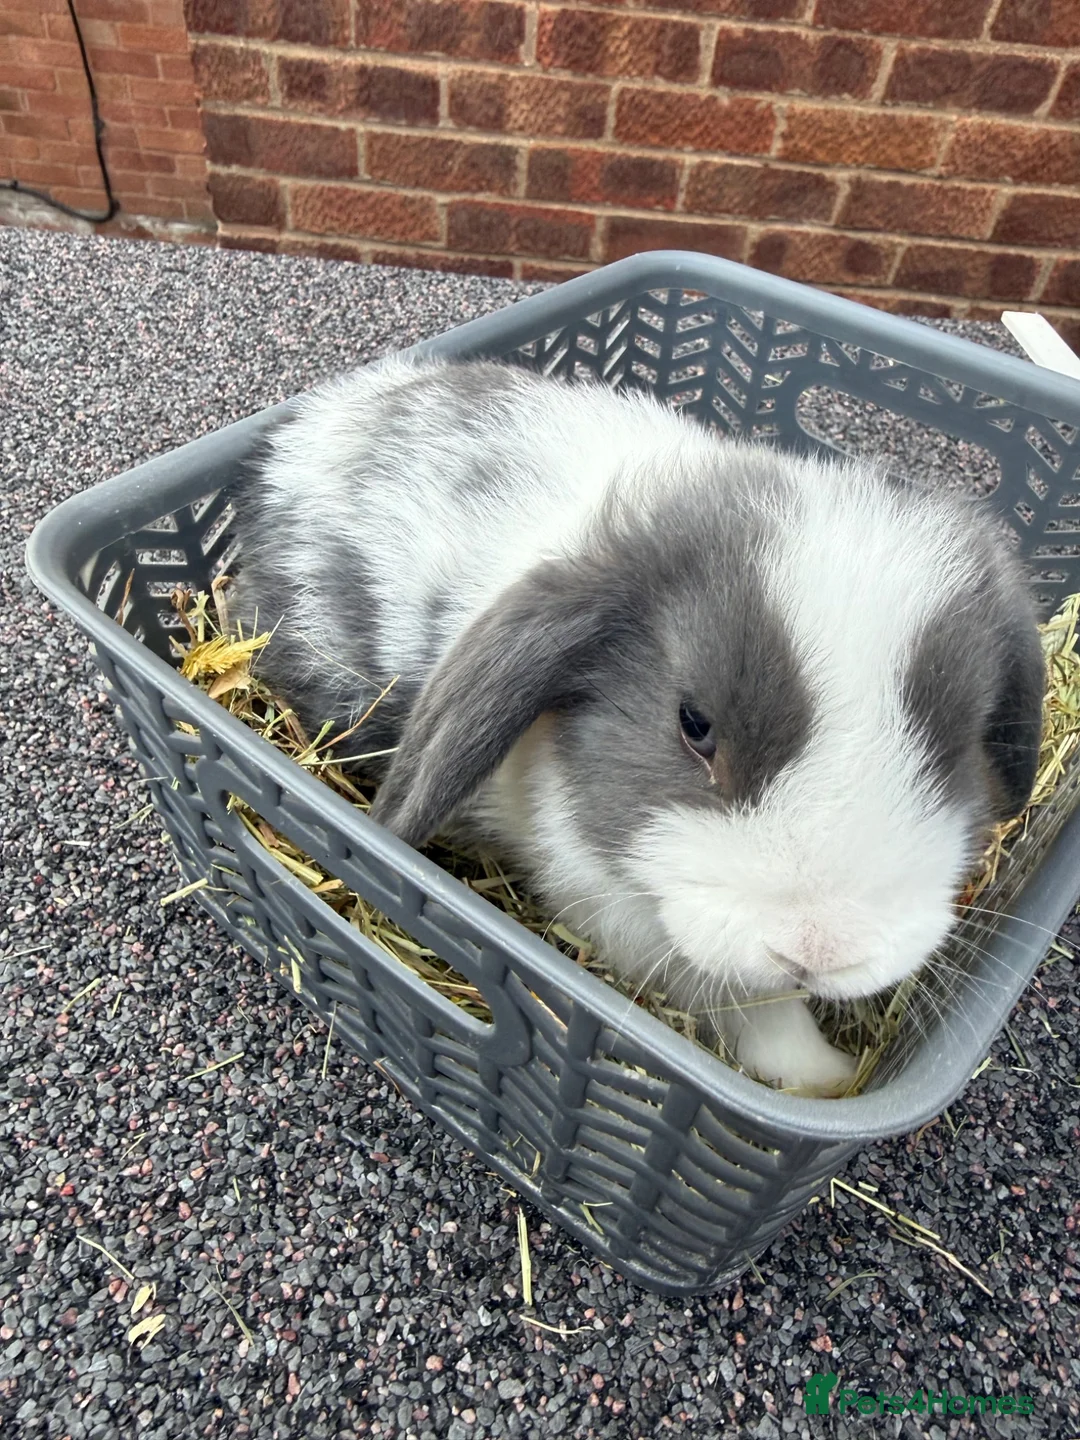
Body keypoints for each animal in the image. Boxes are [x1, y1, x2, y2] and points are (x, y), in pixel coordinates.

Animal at [228, 352, 1045, 1094]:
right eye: (693, 723)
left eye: (953, 746)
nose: (819, 950)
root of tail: (311, 423)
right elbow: (748, 1002)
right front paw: (820, 1074)